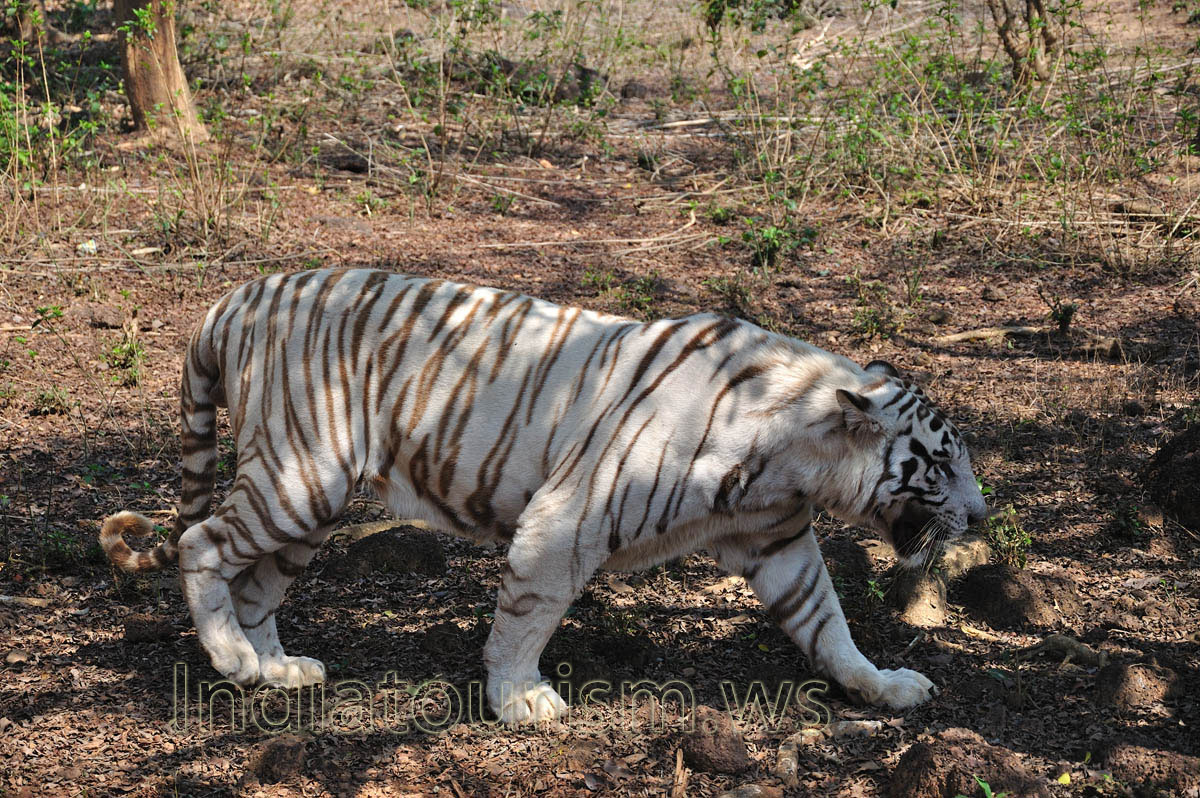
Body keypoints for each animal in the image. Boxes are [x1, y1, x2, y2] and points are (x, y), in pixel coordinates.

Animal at [101, 268, 988, 725]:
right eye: (942, 465)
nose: (981, 516)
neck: (793, 454)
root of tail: (235, 296)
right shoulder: (567, 520)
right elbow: (526, 617)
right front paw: (520, 700)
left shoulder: (778, 540)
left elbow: (829, 625)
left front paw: (883, 686)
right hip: (299, 477)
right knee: (200, 544)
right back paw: (228, 657)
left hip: (309, 505)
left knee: (256, 585)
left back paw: (273, 670)